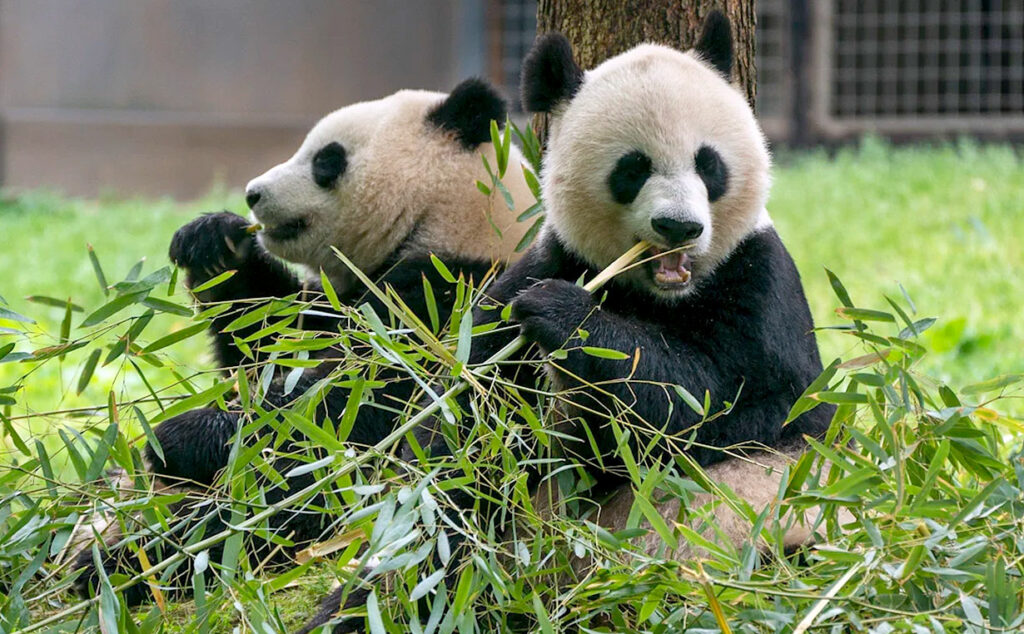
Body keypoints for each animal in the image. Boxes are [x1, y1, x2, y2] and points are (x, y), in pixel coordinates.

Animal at [71, 78, 536, 604]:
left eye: (325, 160)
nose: (252, 194)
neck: (454, 219)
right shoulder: (337, 299)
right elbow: (265, 343)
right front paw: (213, 242)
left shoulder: (450, 299)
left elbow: (352, 410)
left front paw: (179, 436)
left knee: (268, 513)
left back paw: (122, 565)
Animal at [300, 11, 834, 633]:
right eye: (633, 168)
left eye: (709, 164)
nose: (679, 227)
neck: (657, 294)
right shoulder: (542, 264)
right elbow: (470, 432)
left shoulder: (760, 285)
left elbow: (717, 404)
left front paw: (564, 317)